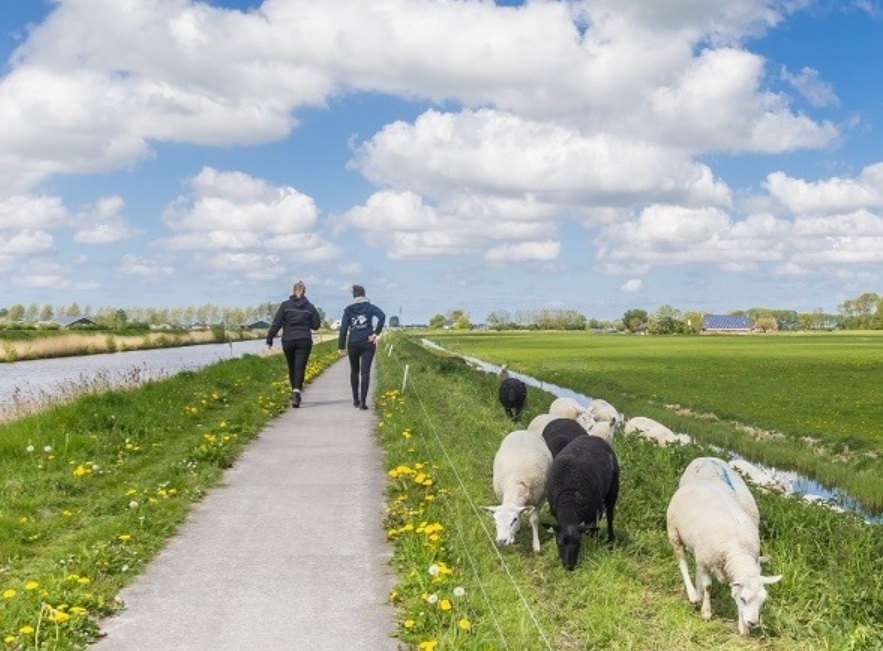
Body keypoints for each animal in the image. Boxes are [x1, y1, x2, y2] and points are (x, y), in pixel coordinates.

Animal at [544, 438, 620, 572]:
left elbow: (591, 532)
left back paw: (610, 540)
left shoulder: (594, 514)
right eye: (560, 543)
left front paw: (594, 546)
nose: (570, 567)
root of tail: (594, 437)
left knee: (610, 516)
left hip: (613, 488)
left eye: (578, 544)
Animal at [668, 464, 784, 636]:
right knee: (682, 564)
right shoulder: (706, 560)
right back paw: (693, 595)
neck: (738, 552)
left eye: (763, 600)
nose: (752, 623)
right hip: (674, 532)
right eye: (743, 599)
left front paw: (743, 628)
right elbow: (708, 586)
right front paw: (706, 612)